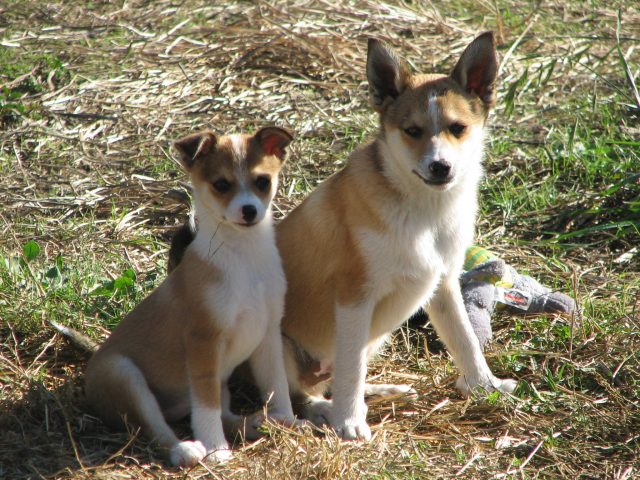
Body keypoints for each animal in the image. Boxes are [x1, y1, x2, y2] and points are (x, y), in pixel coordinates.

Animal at [84, 125, 296, 466]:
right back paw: (187, 449)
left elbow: (276, 384)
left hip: (217, 382)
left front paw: (288, 420)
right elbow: (206, 408)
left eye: (263, 181)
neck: (243, 257)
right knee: (156, 428)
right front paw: (216, 450)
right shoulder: (203, 342)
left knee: (220, 413)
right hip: (124, 376)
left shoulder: (268, 335)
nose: (249, 211)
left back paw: (252, 424)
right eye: (221, 184)